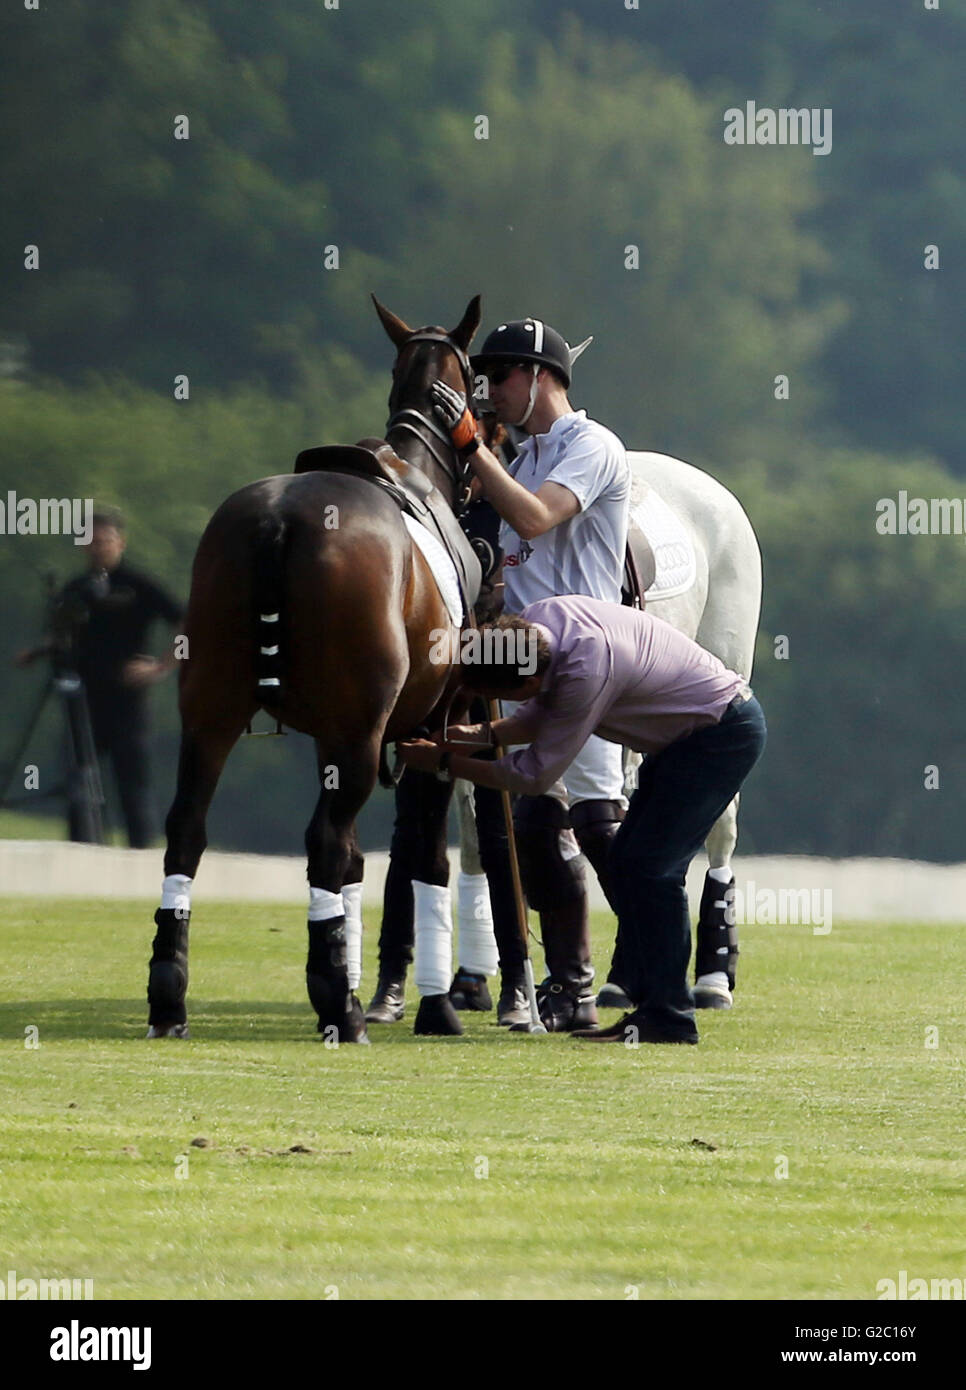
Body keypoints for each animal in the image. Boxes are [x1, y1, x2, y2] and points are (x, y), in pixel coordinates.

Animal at [145, 293, 483, 1045]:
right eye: (479, 380)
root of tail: (277, 521)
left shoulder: (340, 734)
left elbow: (361, 861)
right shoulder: (431, 727)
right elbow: (424, 859)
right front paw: (433, 1005)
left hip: (209, 710)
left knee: (187, 828)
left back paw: (169, 995)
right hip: (358, 731)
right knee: (327, 840)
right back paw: (339, 1006)